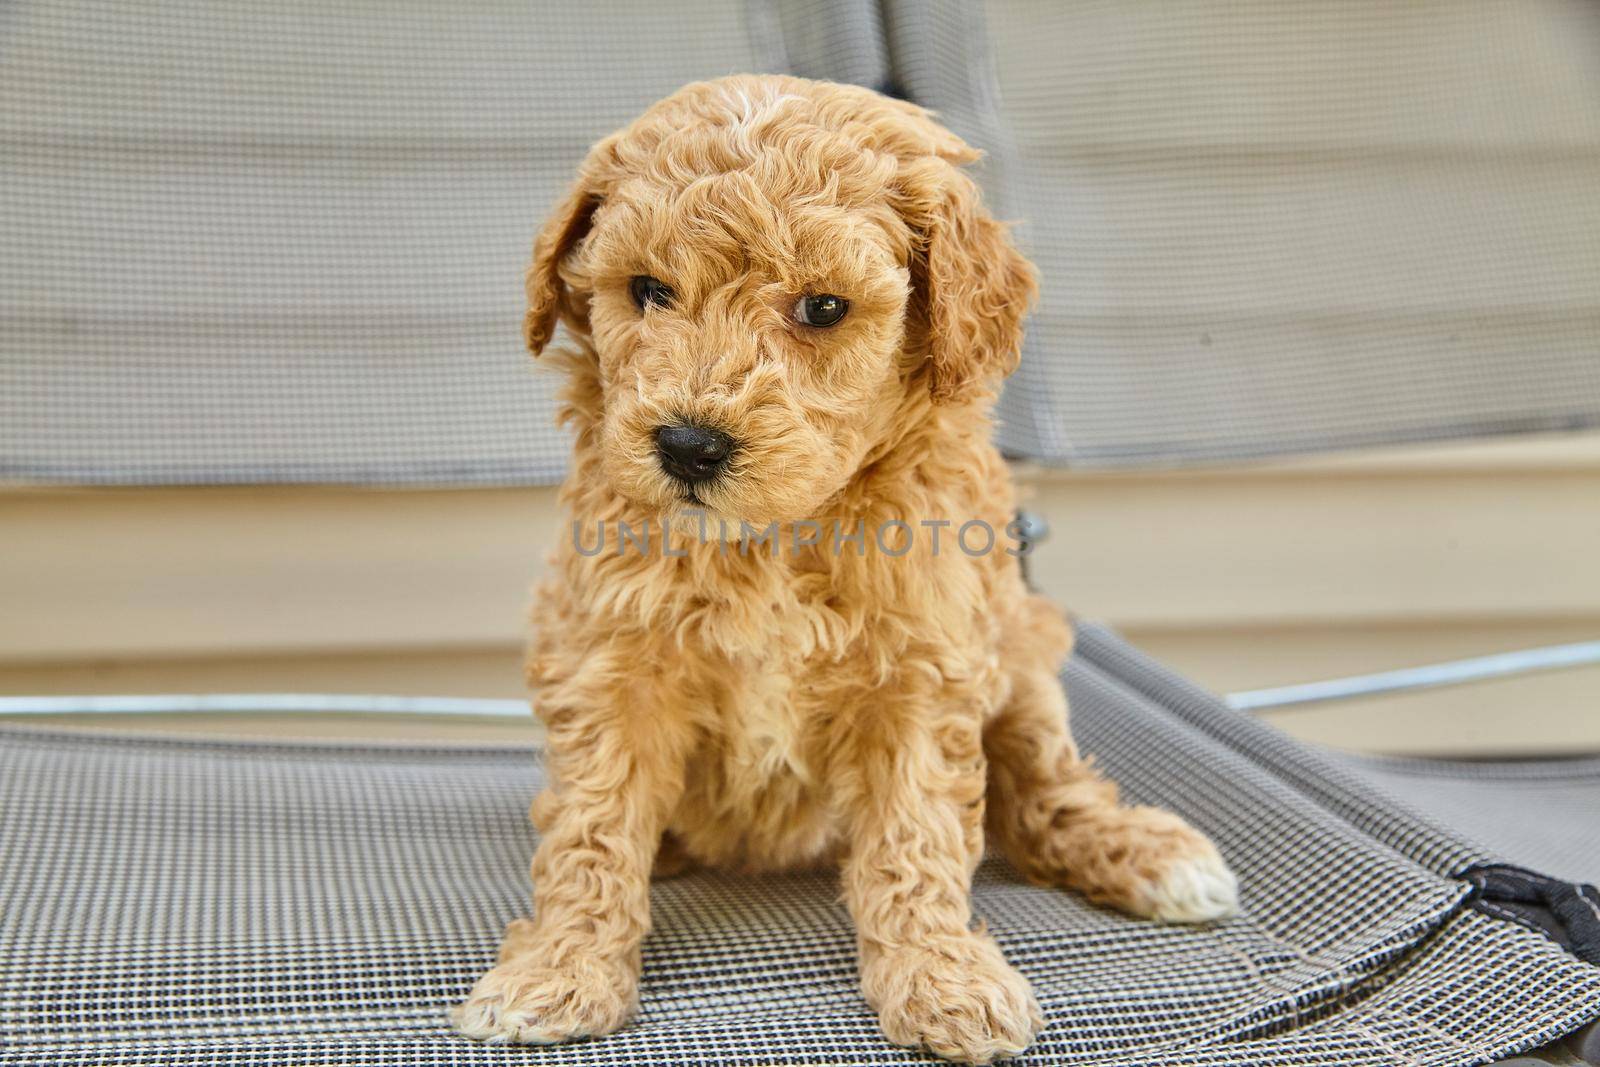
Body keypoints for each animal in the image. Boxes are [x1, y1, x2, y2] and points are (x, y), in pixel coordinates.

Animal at [451, 73, 1235, 1062]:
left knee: (1042, 785)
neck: (772, 538)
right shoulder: (609, 656)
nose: (688, 445)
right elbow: (592, 825)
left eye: (823, 308)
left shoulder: (924, 669)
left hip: (1020, 649)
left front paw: (941, 977)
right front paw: (559, 967)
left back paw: (1146, 854)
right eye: (647, 290)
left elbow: (917, 832)